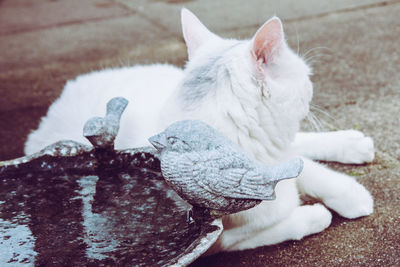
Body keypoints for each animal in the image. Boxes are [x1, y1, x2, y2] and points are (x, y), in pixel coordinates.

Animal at [25, 8, 376, 254]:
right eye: (306, 80)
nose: (313, 89)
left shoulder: (278, 156)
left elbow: (310, 170)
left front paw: (351, 195)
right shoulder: (216, 240)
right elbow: (271, 228)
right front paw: (313, 216)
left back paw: (352, 143)